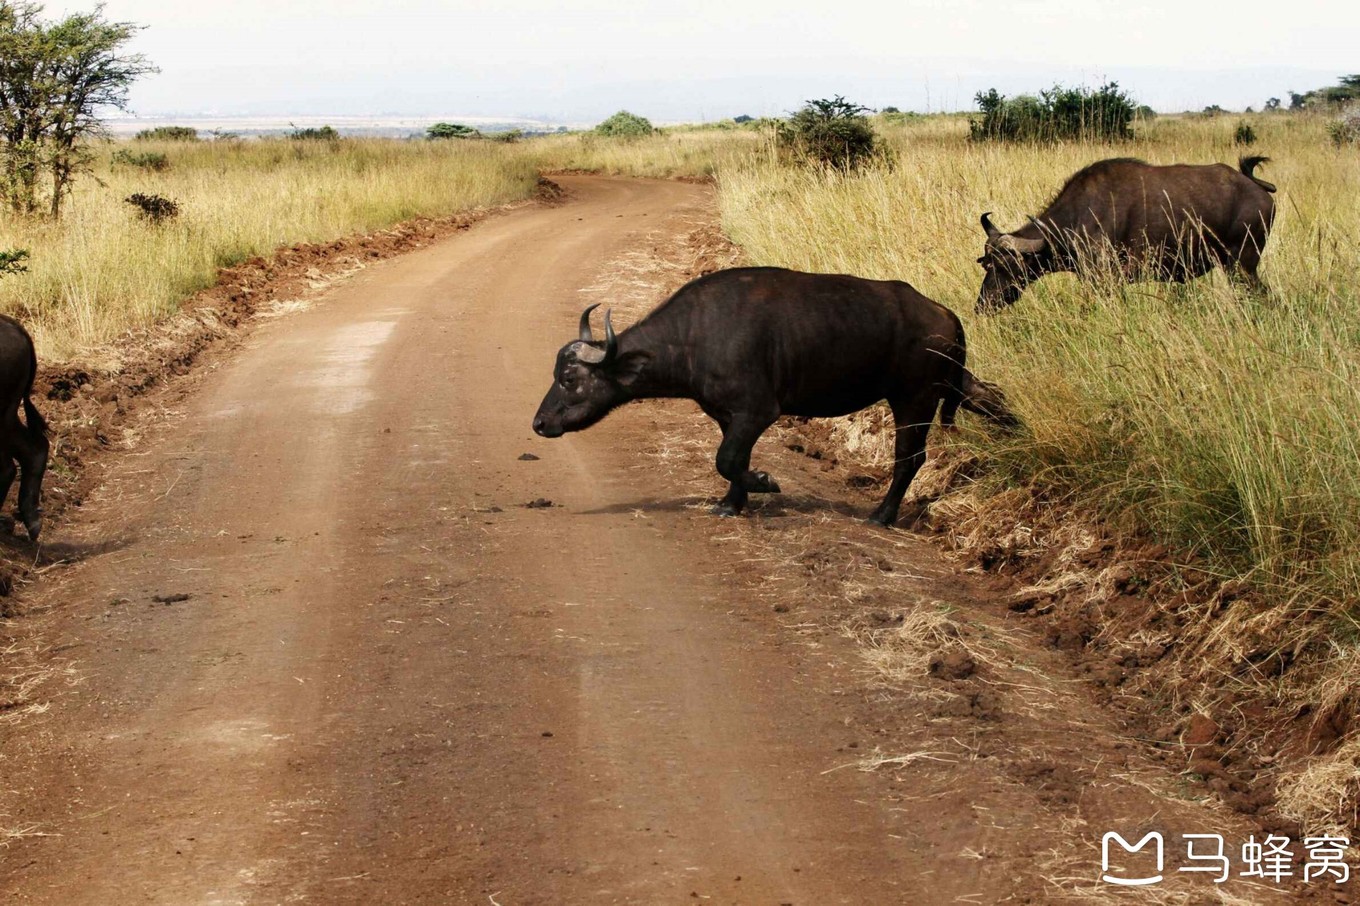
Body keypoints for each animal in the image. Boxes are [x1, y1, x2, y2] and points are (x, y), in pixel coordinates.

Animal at [530, 266, 1011, 522]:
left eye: (569, 378)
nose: (540, 422)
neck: (693, 338)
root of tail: (944, 315)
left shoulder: (758, 411)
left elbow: (727, 459)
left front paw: (764, 483)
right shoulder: (729, 416)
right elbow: (733, 458)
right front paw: (732, 503)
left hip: (914, 399)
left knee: (909, 457)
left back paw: (882, 515)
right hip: (954, 385)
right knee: (994, 399)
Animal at [979, 155, 1272, 310]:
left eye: (1005, 266)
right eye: (987, 264)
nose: (983, 304)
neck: (1080, 216)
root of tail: (1257, 188)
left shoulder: (1104, 281)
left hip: (1242, 265)